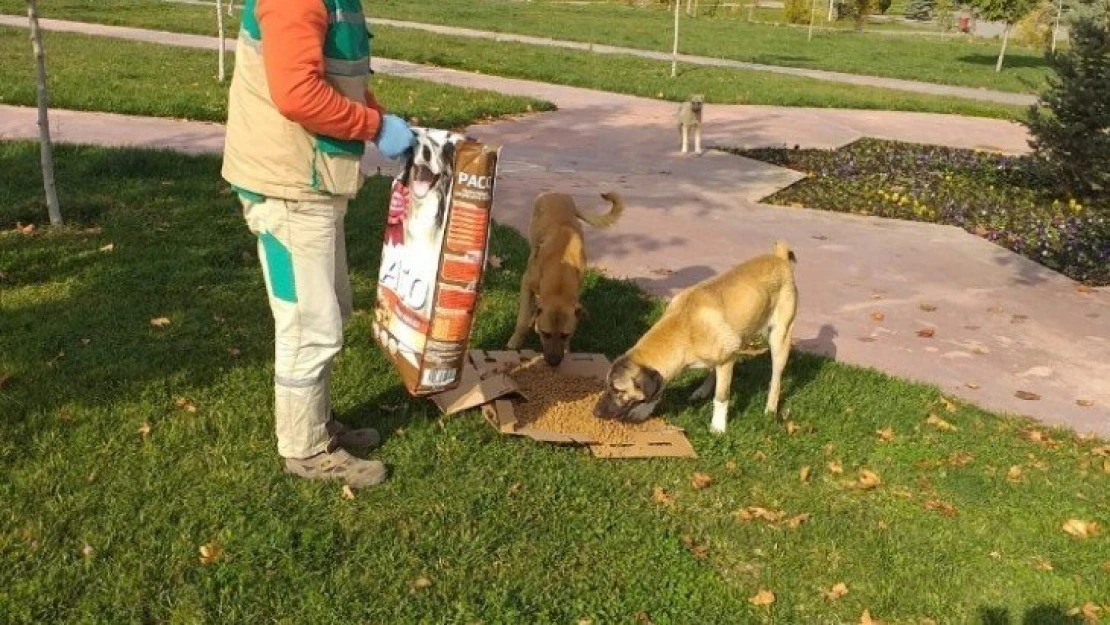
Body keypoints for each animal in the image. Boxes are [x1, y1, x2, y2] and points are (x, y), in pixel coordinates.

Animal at [506, 190, 626, 366]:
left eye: (565, 335)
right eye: (545, 334)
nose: (554, 362)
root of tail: (558, 193)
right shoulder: (526, 283)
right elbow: (522, 320)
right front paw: (515, 341)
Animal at [594, 240, 794, 435]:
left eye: (617, 390)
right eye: (606, 385)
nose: (595, 412)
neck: (683, 330)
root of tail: (780, 258)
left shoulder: (727, 361)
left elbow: (721, 397)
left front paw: (718, 427)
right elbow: (658, 389)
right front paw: (643, 410)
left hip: (779, 339)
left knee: (775, 379)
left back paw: (770, 409)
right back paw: (702, 391)